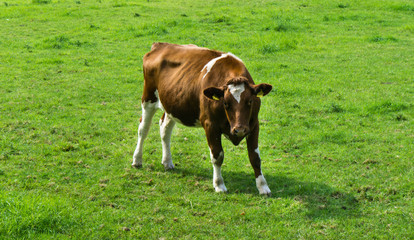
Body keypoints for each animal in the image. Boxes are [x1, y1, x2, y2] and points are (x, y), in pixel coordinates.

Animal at [133, 42, 274, 195]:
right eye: (226, 103)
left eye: (250, 101)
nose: (239, 130)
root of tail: (160, 45)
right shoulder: (210, 125)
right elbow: (217, 155)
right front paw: (219, 184)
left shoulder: (254, 125)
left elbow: (255, 157)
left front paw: (263, 186)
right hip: (148, 99)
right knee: (143, 129)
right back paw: (137, 160)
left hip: (171, 105)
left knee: (165, 129)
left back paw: (167, 162)